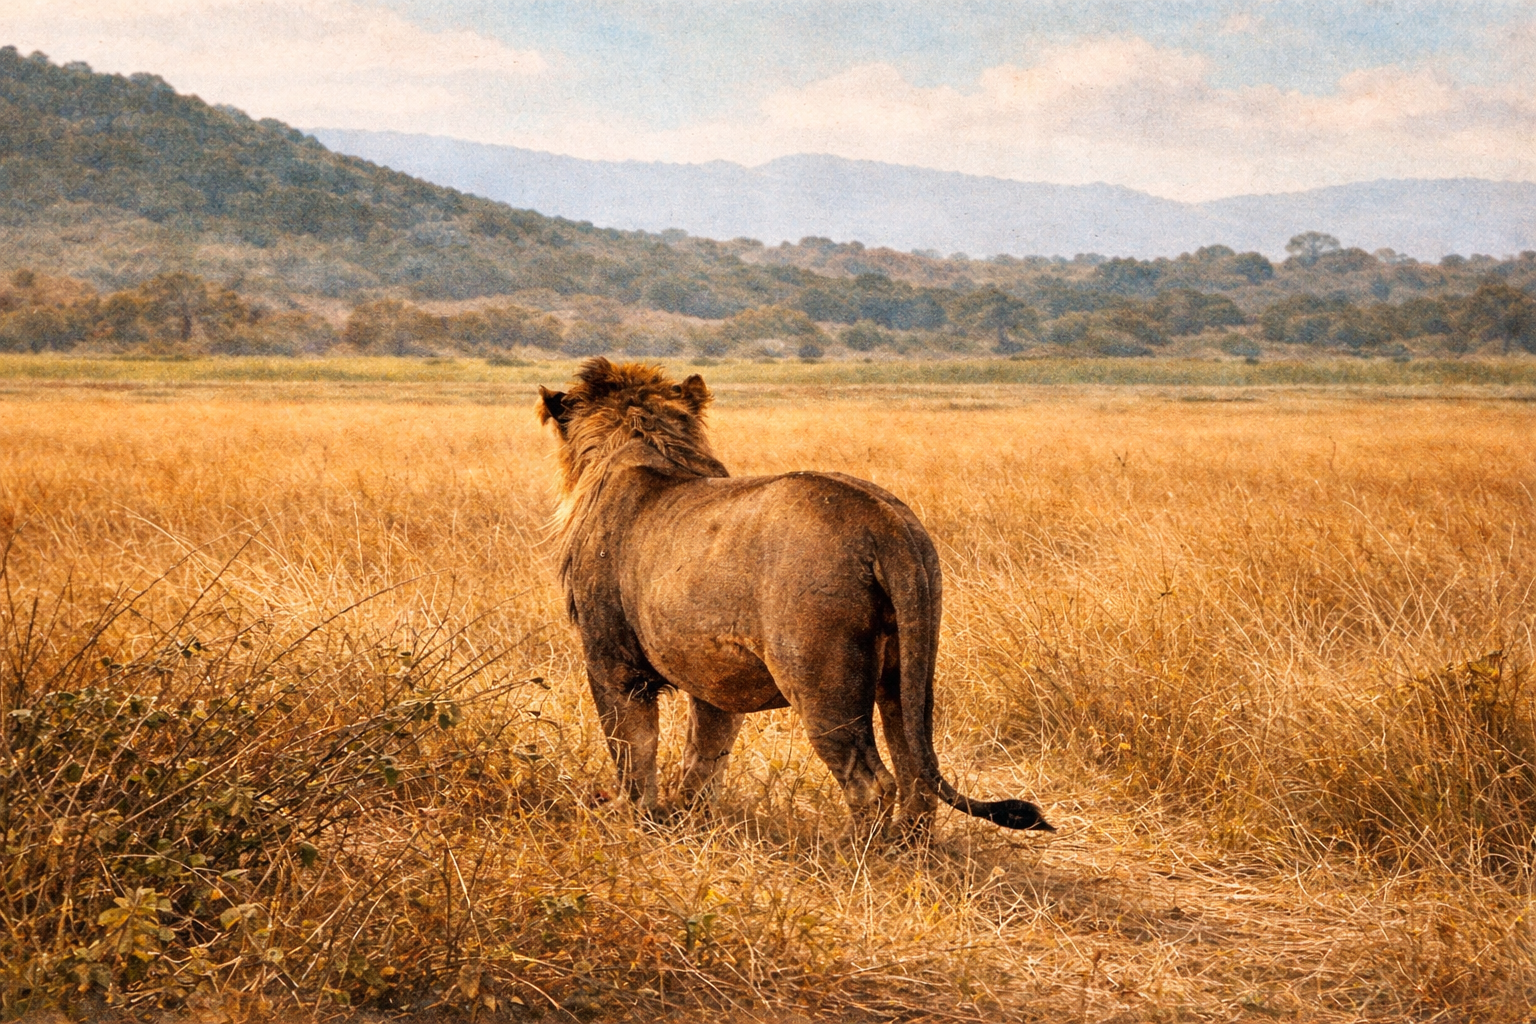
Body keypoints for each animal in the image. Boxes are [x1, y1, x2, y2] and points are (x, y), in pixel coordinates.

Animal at [537, 358, 1052, 835]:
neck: (642, 443)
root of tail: (884, 521)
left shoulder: (613, 664)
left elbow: (633, 753)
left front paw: (638, 823)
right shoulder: (716, 678)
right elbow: (704, 757)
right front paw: (690, 821)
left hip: (819, 677)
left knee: (871, 782)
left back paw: (852, 853)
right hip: (908, 668)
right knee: (915, 773)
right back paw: (909, 847)